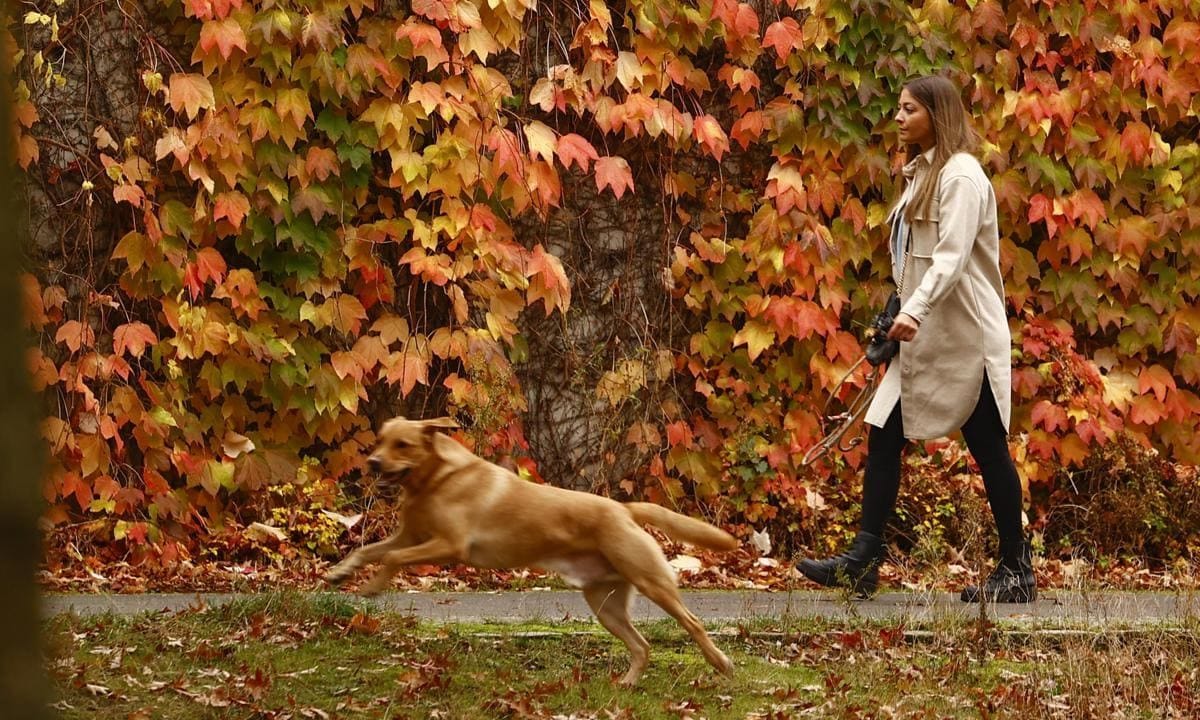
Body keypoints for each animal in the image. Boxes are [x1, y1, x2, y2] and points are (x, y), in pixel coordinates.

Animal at [328, 415, 739, 686]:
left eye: (403, 445)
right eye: (381, 440)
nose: (373, 462)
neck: (435, 478)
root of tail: (624, 509)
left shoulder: (448, 546)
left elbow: (390, 557)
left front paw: (372, 586)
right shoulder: (410, 536)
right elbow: (369, 551)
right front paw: (340, 572)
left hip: (651, 582)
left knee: (692, 622)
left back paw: (721, 663)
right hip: (605, 605)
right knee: (642, 646)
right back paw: (627, 683)